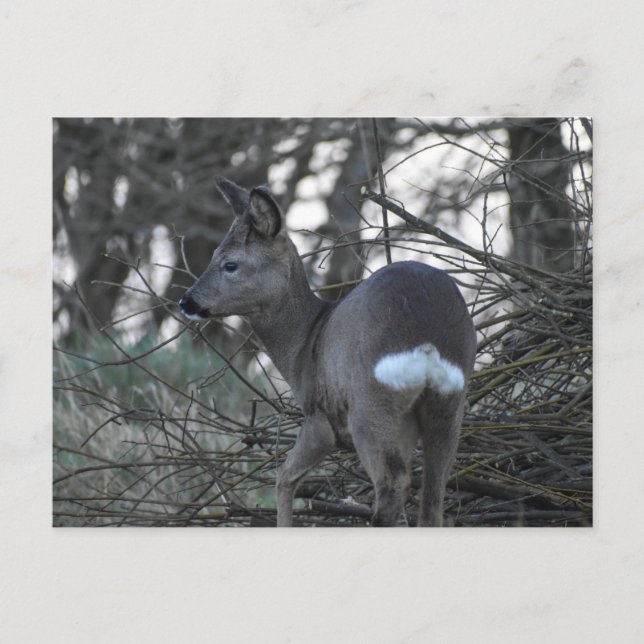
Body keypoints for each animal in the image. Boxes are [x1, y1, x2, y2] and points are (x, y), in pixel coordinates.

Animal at [179, 177, 477, 527]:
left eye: (230, 264)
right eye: (215, 254)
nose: (186, 301)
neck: (303, 344)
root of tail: (427, 339)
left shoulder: (319, 419)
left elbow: (284, 478)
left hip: (371, 404)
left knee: (393, 483)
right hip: (448, 404)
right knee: (432, 498)